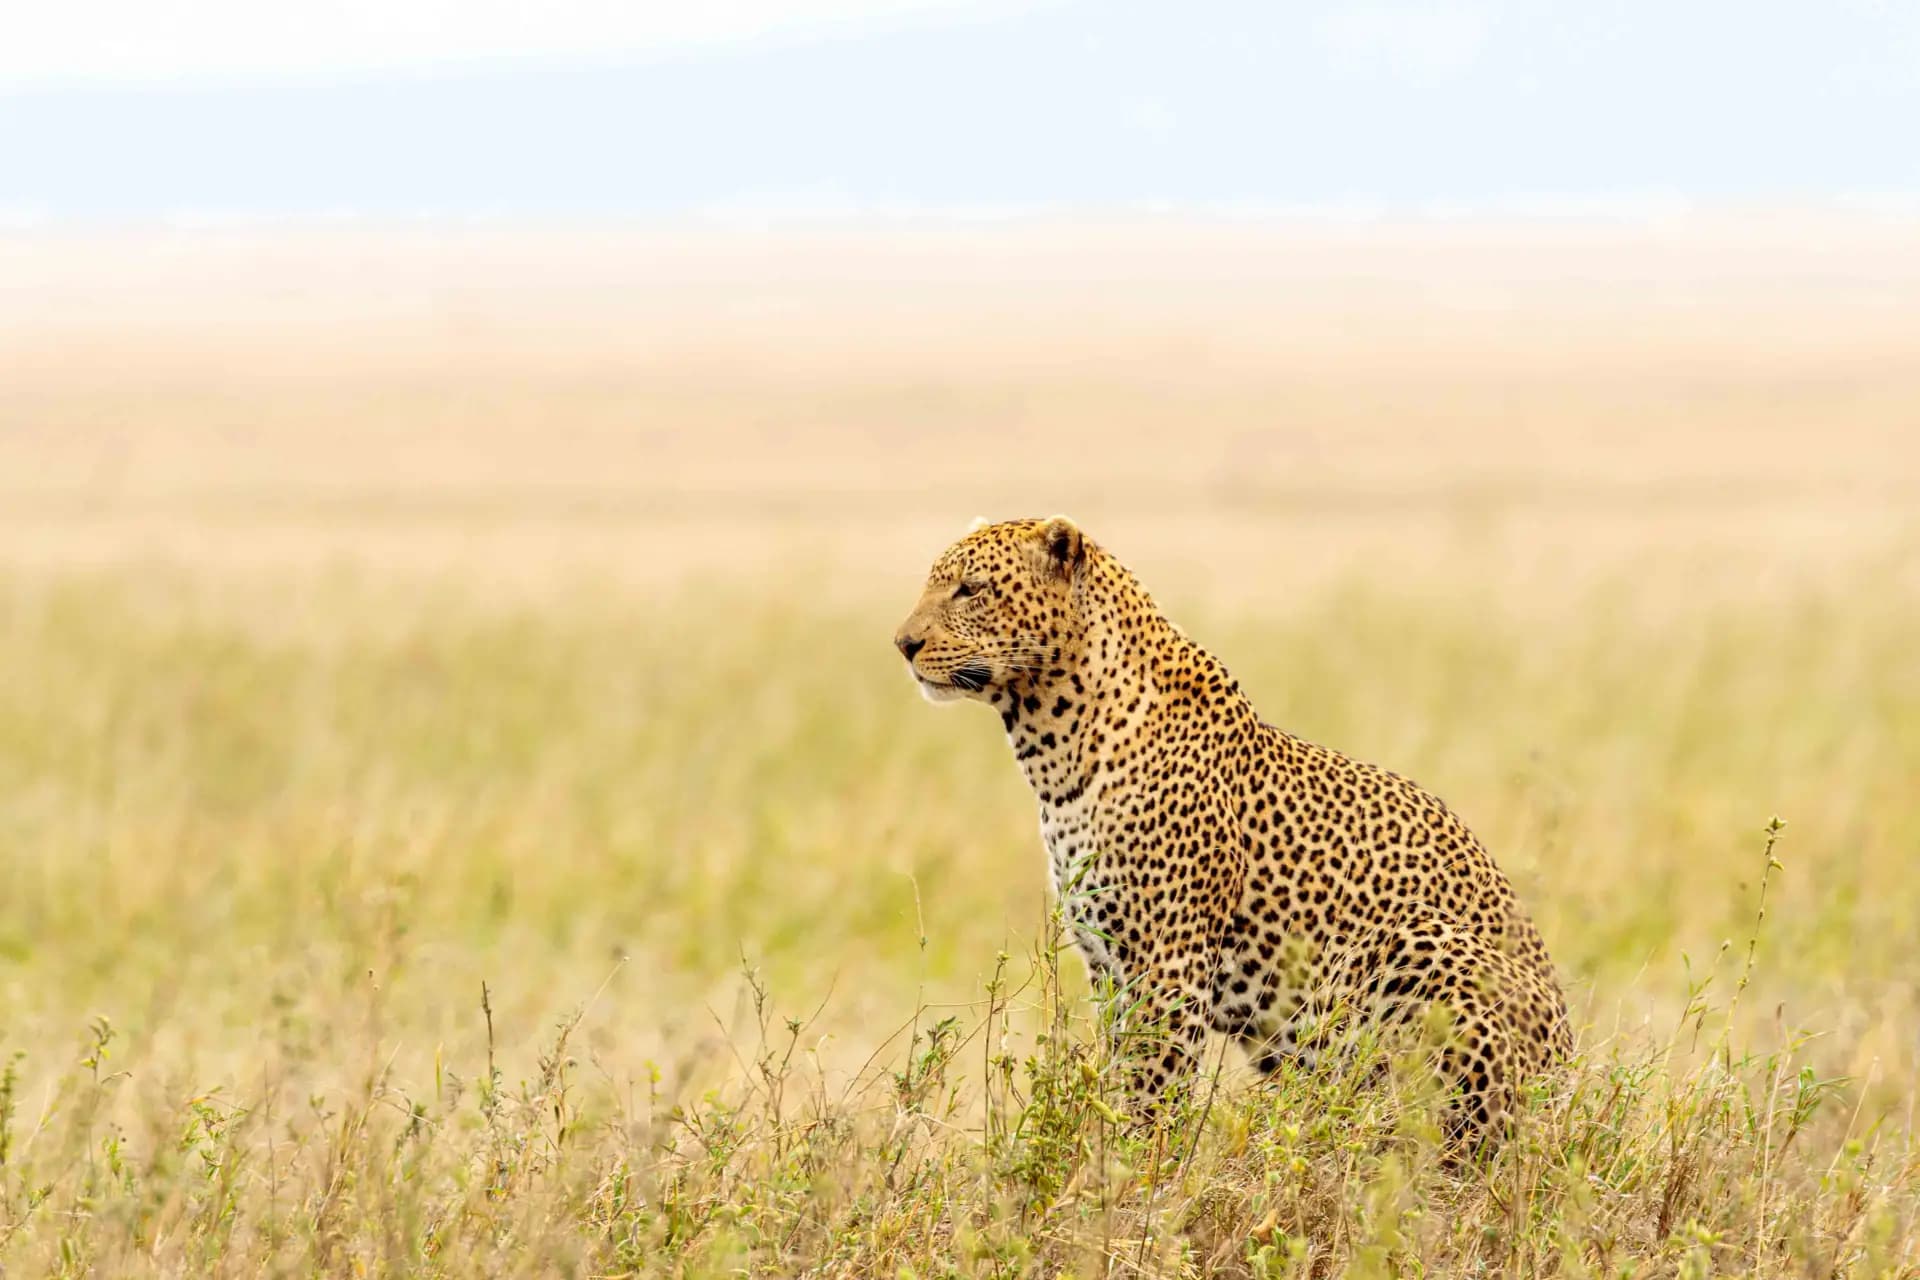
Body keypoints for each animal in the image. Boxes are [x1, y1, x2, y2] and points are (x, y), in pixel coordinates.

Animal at [893, 515, 1572, 1140]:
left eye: (971, 589)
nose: (903, 643)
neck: (1053, 747)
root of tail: (1569, 1089)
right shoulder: (1108, 965)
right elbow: (1114, 1076)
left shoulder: (1168, 962)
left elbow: (1152, 1094)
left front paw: (1135, 1171)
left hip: (1418, 942)